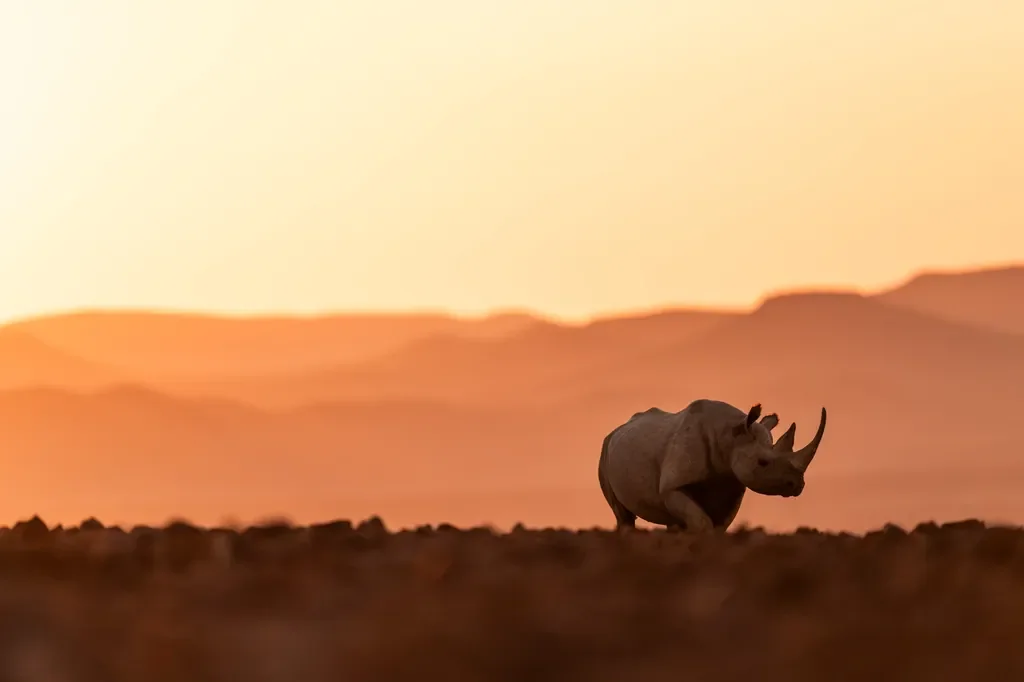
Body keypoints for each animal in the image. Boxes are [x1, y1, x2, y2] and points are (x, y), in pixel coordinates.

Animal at [597, 399, 827, 532]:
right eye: (763, 462)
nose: (797, 485)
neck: (731, 436)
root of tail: (617, 429)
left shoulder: (730, 483)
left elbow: (718, 526)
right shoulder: (673, 485)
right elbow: (702, 522)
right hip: (605, 449)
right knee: (623, 516)